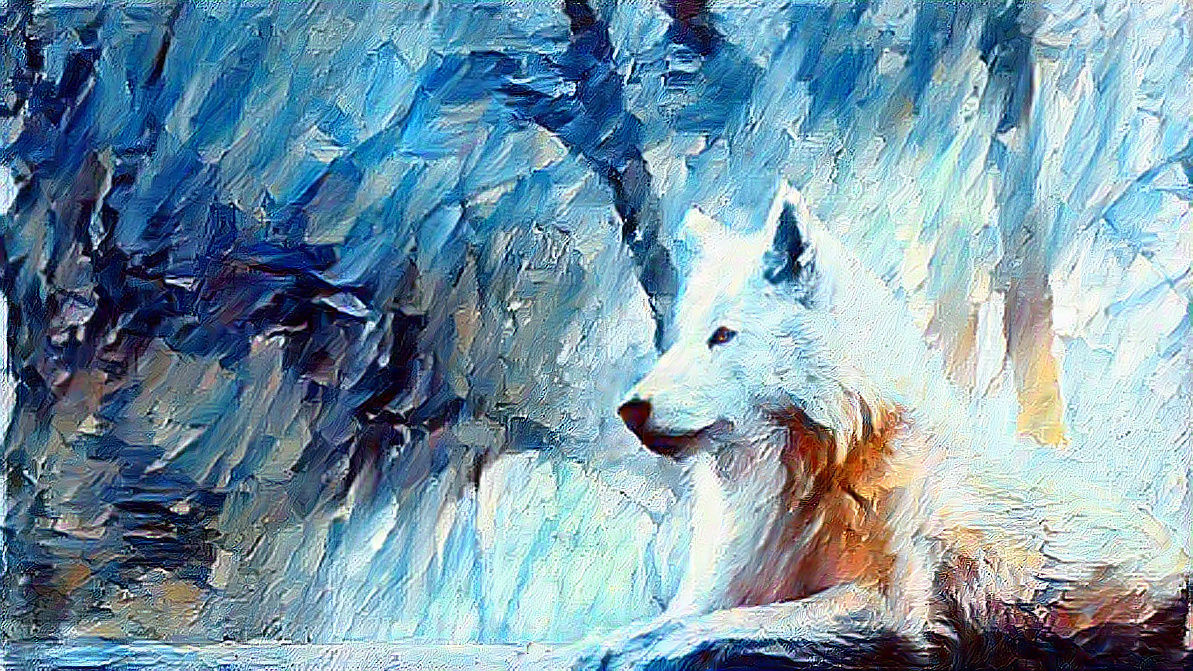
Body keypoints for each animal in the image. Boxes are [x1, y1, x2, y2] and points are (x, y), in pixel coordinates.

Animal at [524, 182, 1191, 670]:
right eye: (679, 338)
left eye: (723, 336)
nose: (629, 409)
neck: (809, 474)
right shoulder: (725, 582)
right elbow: (664, 622)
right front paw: (585, 648)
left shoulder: (887, 608)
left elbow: (723, 626)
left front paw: (645, 652)